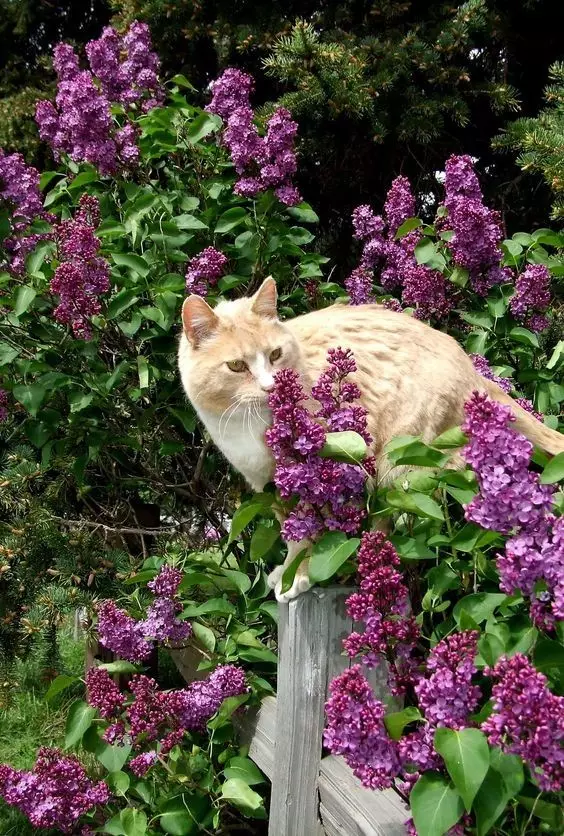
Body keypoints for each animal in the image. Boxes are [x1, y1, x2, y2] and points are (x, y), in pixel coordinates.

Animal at [178, 280, 564, 600]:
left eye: (275, 356)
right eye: (236, 367)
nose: (271, 386)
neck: (245, 423)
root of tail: (469, 365)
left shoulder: (317, 473)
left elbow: (311, 531)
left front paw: (299, 574)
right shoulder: (271, 485)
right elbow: (292, 531)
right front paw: (287, 569)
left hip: (397, 460)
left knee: (391, 515)